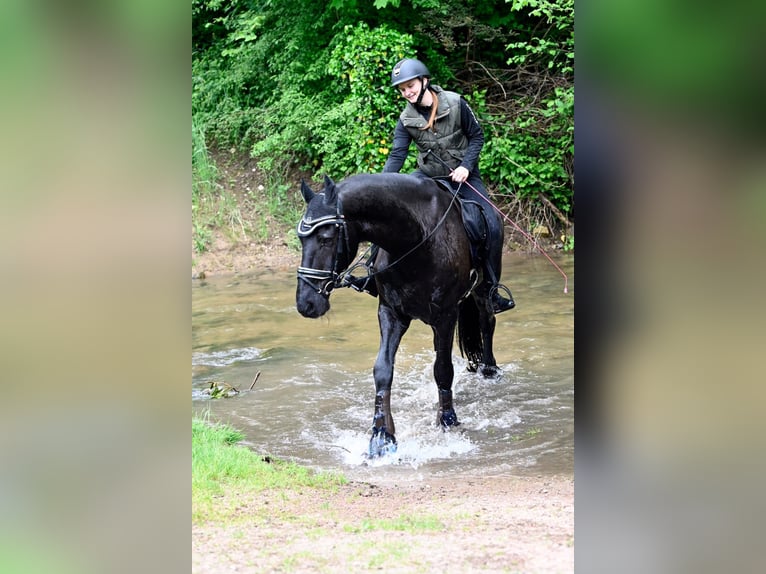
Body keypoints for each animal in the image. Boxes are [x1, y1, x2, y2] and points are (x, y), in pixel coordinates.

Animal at [296, 173, 500, 456]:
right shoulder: (391, 313)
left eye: (326, 238)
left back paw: (490, 370)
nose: (306, 304)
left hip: (482, 291)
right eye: (301, 240)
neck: (415, 239)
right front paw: (381, 436)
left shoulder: (446, 316)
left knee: (487, 321)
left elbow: (443, 369)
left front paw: (448, 420)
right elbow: (383, 369)